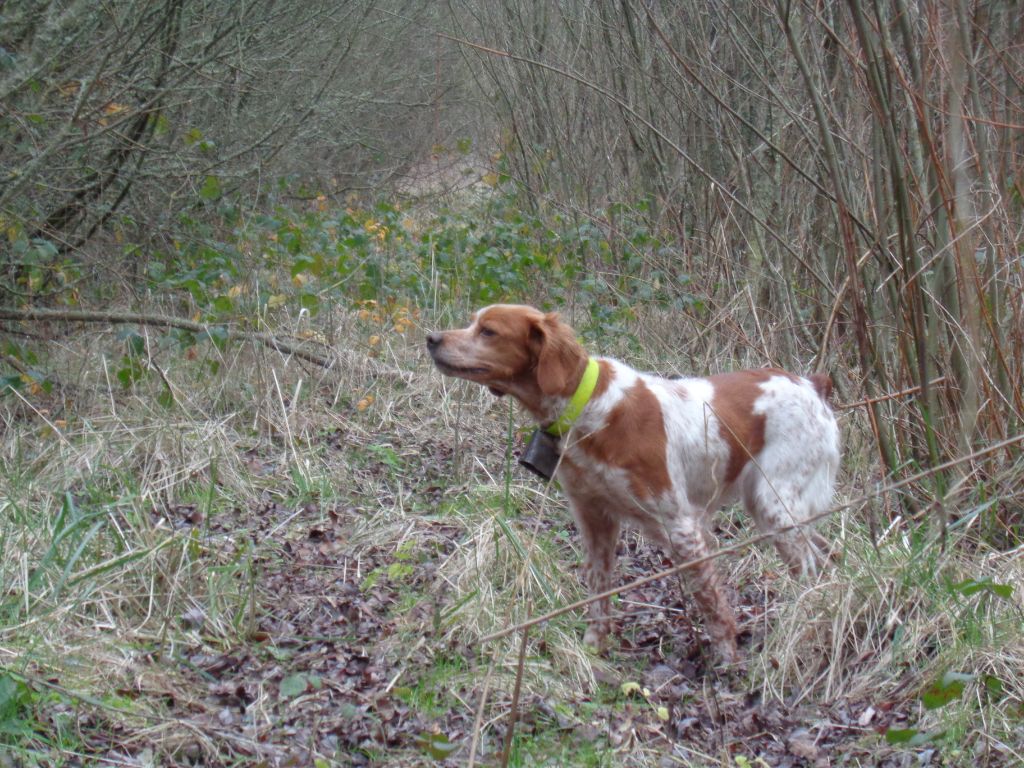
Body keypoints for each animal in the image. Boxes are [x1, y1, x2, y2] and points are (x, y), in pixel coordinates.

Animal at [425, 305, 839, 663]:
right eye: (472, 322)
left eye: (488, 331)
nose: (431, 338)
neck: (587, 406)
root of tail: (811, 383)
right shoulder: (594, 518)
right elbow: (598, 589)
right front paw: (594, 646)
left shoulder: (682, 526)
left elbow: (711, 602)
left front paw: (728, 660)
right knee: (825, 556)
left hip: (774, 505)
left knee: (810, 569)